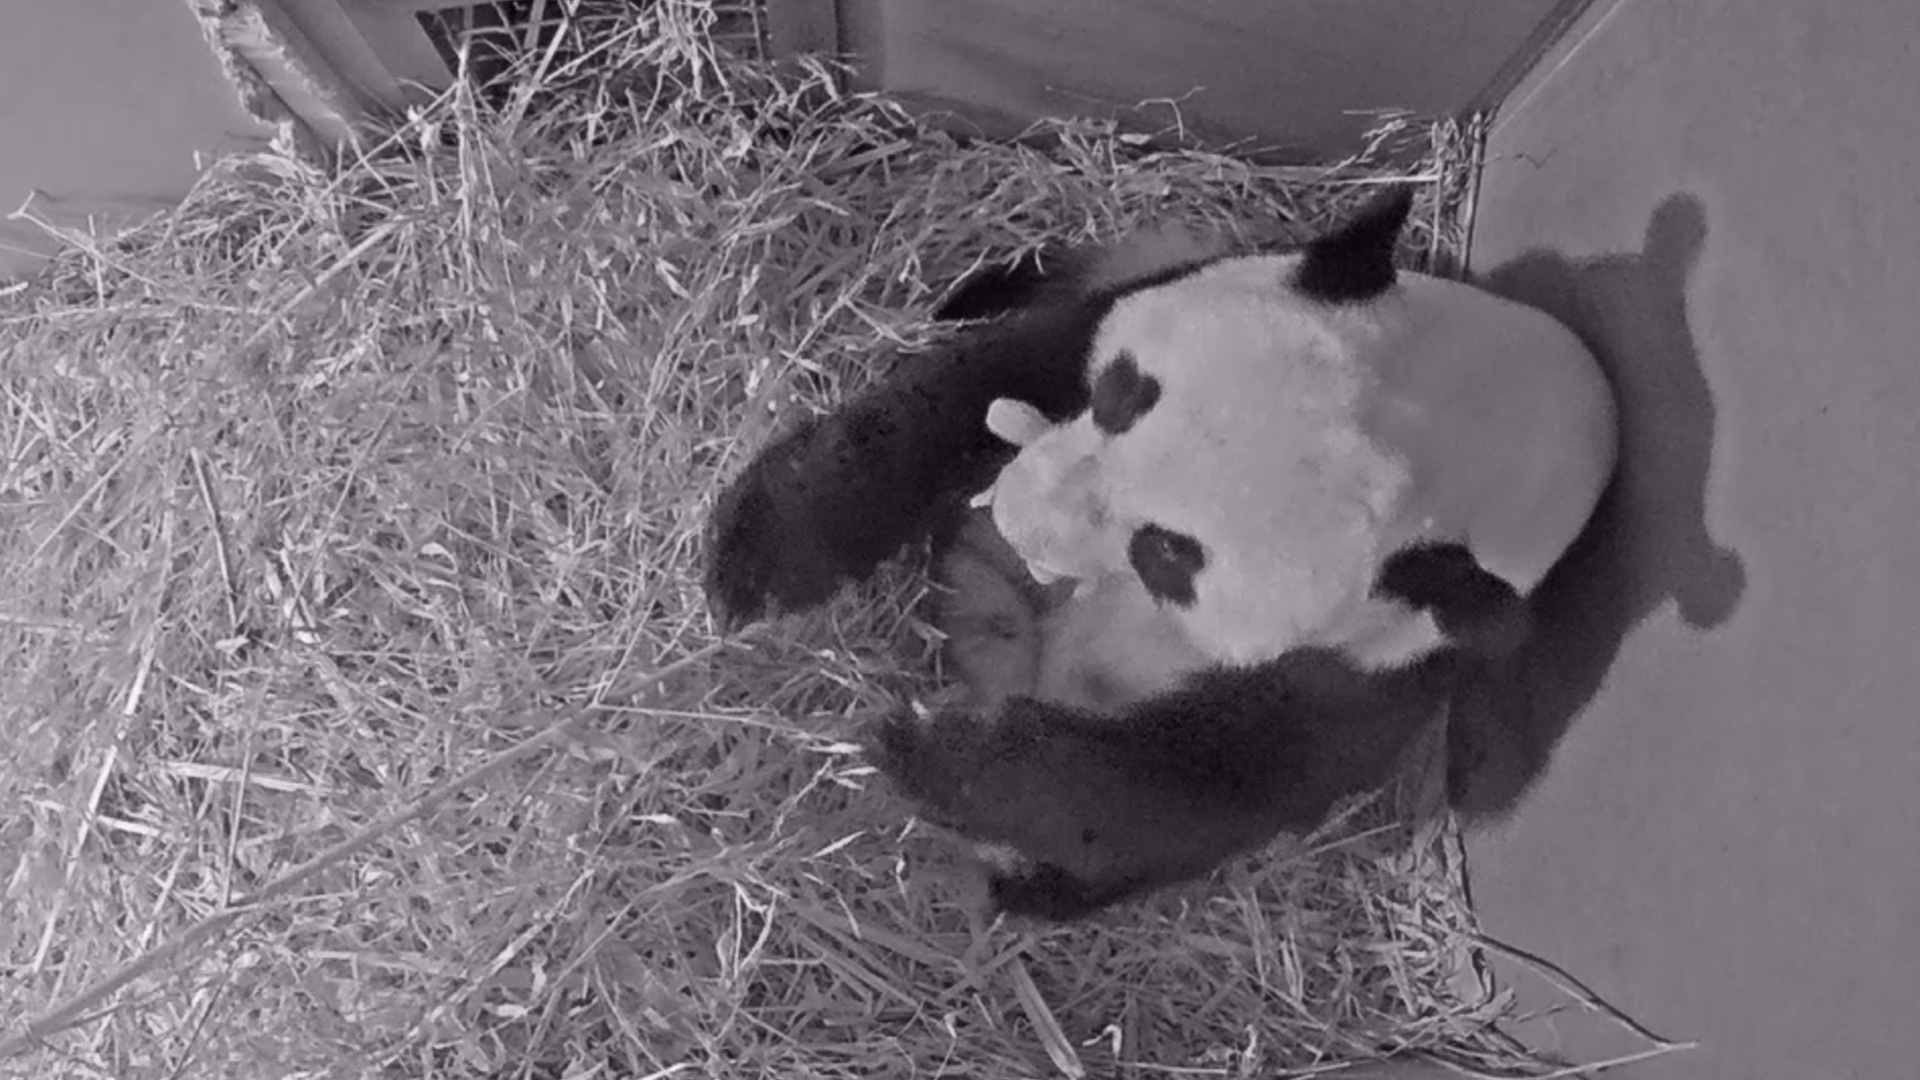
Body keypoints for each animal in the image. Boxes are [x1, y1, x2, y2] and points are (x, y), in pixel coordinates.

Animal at [706, 184, 1620, 914]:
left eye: (1167, 557)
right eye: (1123, 394)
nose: (1015, 516)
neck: (1480, 413)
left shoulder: (1388, 661)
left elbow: (1200, 781)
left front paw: (930, 745)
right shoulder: (1154, 301)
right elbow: (975, 387)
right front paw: (762, 550)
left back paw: (1024, 883)